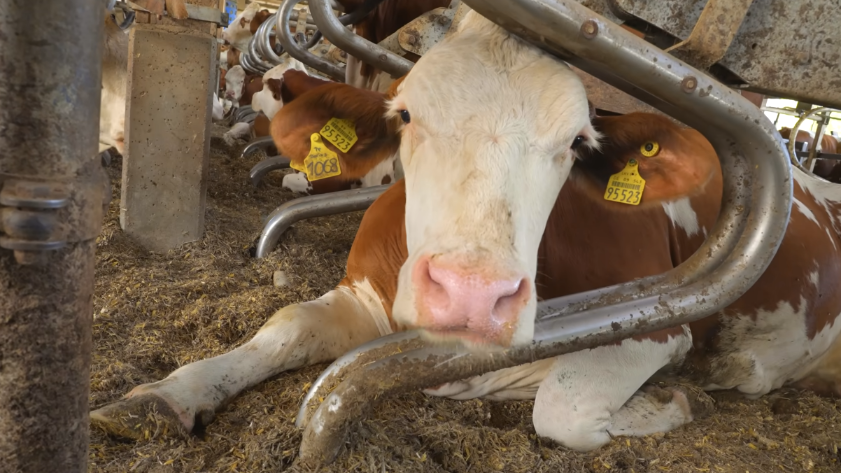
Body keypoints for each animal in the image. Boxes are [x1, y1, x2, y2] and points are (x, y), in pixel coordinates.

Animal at [91, 11, 841, 454]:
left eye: (576, 142)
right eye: (405, 116)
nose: (471, 296)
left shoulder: (657, 326)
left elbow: (562, 407)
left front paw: (672, 400)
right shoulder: (366, 291)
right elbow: (283, 325)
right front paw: (165, 394)